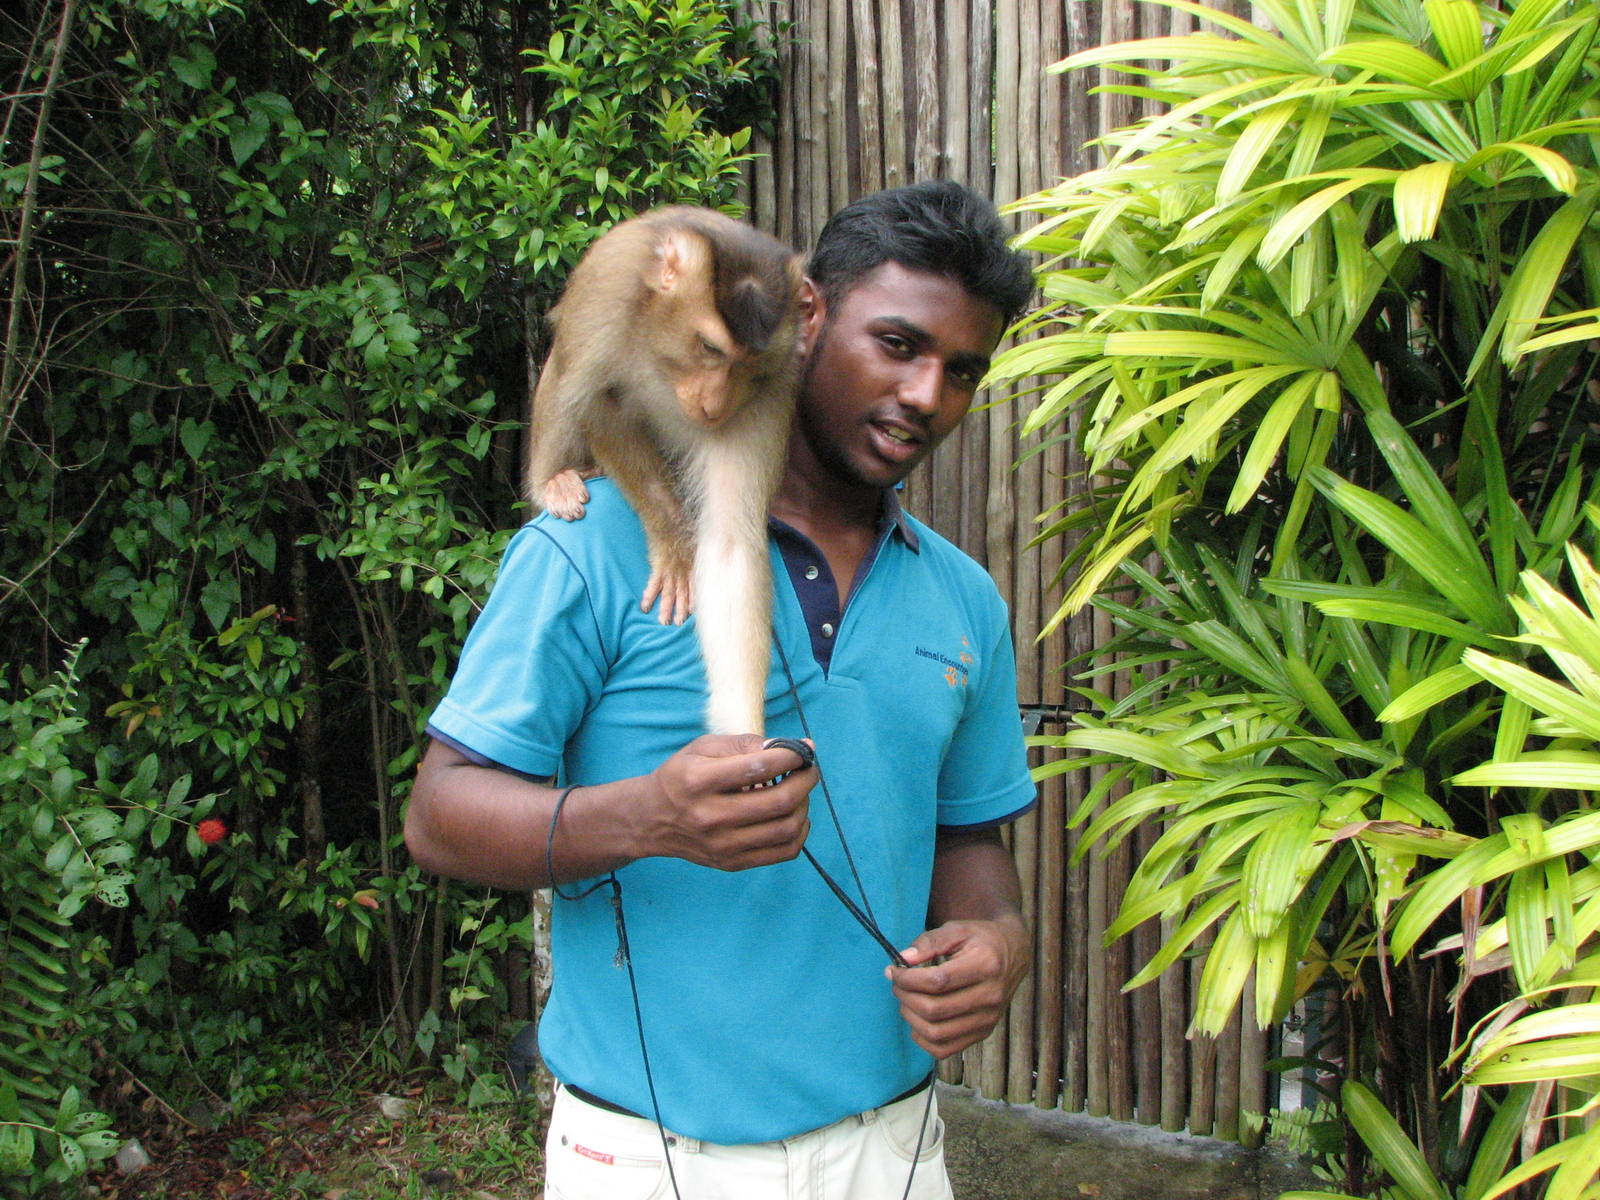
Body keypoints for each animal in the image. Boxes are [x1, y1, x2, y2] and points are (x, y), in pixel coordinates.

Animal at [525, 207, 807, 737]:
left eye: (749, 366)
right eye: (710, 348)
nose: (714, 404)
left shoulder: (771, 388)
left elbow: (730, 544)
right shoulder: (606, 301)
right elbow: (596, 401)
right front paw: (676, 545)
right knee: (562, 377)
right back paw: (555, 479)